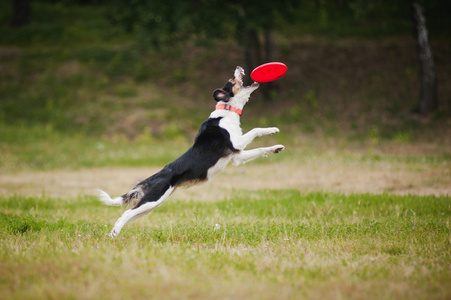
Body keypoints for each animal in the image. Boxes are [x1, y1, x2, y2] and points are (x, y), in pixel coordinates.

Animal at [98, 67, 286, 238]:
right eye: (232, 80)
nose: (239, 67)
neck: (227, 110)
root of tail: (153, 177)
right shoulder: (236, 143)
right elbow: (255, 129)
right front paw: (272, 129)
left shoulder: (237, 157)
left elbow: (261, 149)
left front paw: (276, 147)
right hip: (153, 199)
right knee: (127, 213)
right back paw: (114, 234)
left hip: (150, 204)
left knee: (128, 214)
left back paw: (113, 233)